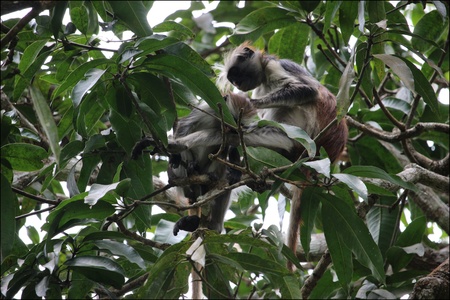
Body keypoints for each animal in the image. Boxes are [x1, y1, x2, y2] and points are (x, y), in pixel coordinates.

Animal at [218, 42, 348, 272]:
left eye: (236, 76)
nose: (238, 85)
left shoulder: (275, 66)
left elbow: (308, 90)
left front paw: (248, 102)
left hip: (303, 132)